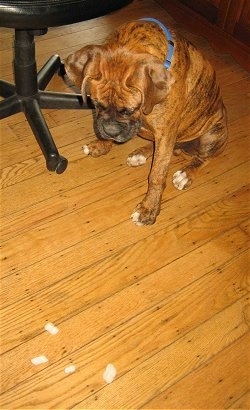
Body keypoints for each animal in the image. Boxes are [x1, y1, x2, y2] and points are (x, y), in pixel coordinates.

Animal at [65, 18, 228, 224]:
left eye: (130, 110)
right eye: (96, 103)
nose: (110, 131)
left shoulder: (166, 132)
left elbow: (157, 175)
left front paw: (148, 209)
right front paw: (100, 144)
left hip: (212, 134)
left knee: (203, 158)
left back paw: (186, 173)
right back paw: (140, 153)